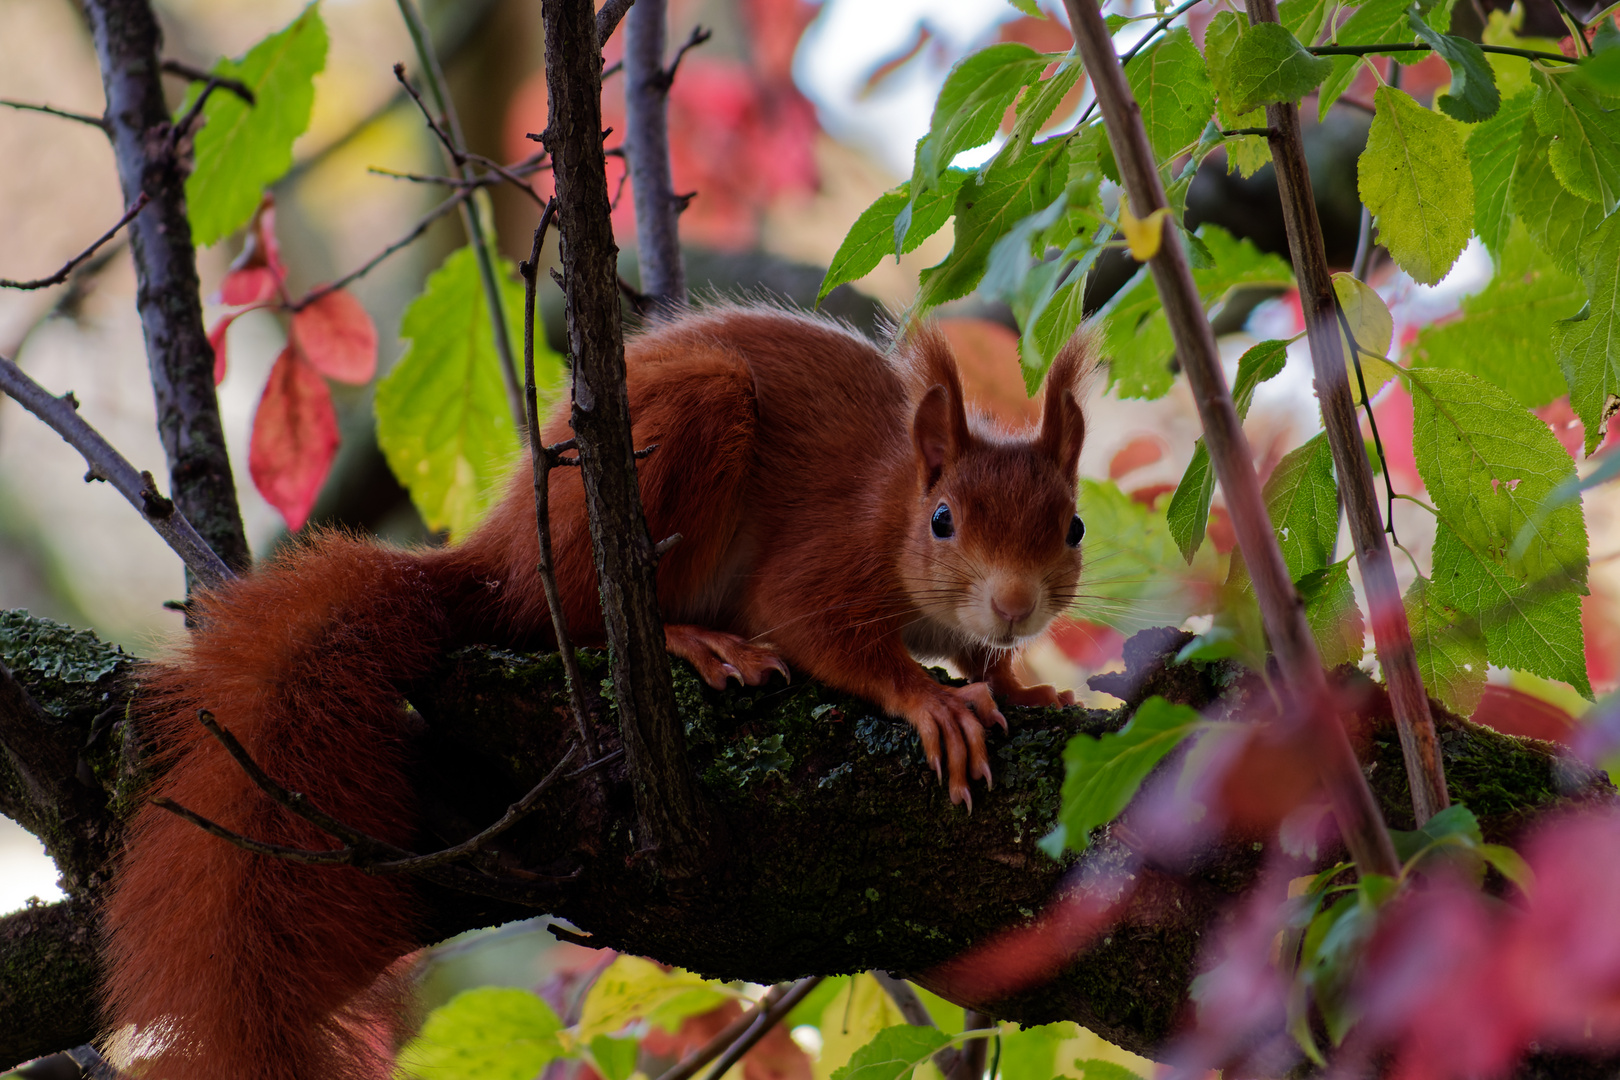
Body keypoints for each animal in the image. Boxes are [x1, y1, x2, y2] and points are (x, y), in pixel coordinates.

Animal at [101, 304, 1088, 1080]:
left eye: (1073, 527)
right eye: (943, 521)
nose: (1014, 605)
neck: (894, 498)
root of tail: (497, 563)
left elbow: (989, 663)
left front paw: (1023, 687)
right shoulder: (825, 561)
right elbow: (826, 637)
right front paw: (935, 702)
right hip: (677, 435)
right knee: (572, 623)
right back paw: (697, 641)